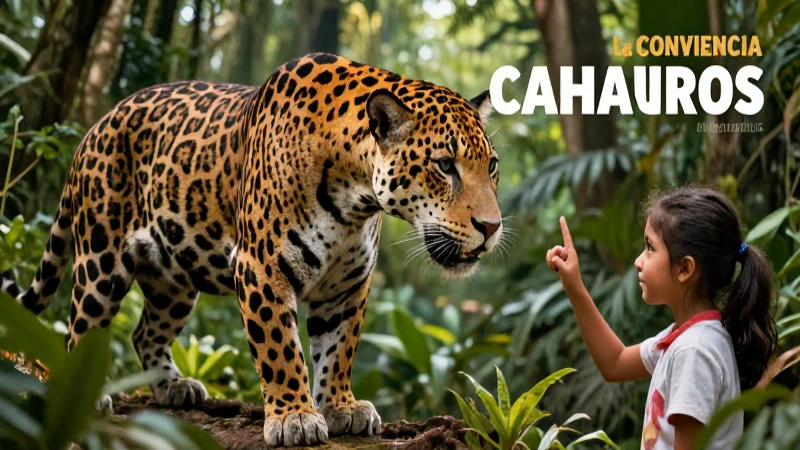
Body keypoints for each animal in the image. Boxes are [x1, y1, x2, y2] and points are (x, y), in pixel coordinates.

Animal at [1, 52, 502, 447]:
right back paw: (84, 396)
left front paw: (341, 407)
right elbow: (280, 348)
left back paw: (174, 387)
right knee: (78, 329)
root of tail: (94, 128)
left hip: (173, 278)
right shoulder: (260, 267)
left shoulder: (348, 283)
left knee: (144, 333)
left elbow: (339, 348)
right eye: (445, 165)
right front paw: (295, 417)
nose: (491, 227)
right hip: (100, 263)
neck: (355, 197)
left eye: (492, 165)